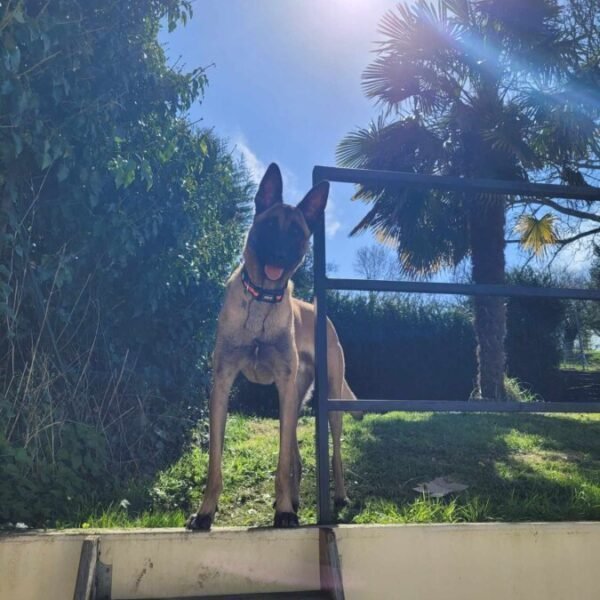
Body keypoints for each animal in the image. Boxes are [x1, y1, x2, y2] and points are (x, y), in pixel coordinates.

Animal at [185, 164, 358, 528]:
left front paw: (283, 513)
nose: (279, 255)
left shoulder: (285, 389)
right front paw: (205, 513)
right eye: (269, 226)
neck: (261, 300)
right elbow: (215, 462)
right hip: (293, 396)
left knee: (331, 449)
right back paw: (294, 499)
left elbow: (281, 464)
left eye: (296, 233)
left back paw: (335, 495)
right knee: (295, 455)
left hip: (326, 399)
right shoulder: (223, 385)